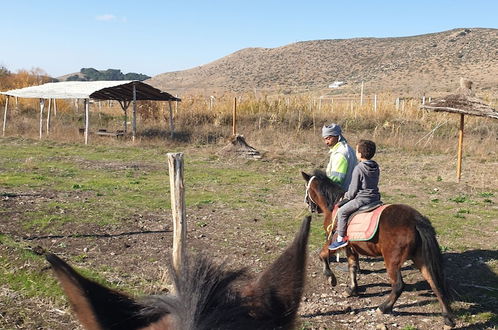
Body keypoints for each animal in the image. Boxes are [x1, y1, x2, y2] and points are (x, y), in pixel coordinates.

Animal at [300, 170, 456, 328]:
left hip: (392, 261)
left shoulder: (336, 242)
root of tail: (416, 220)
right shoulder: (351, 248)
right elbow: (352, 267)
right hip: (420, 258)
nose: (308, 204)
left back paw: (384, 307)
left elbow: (323, 255)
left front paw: (331, 278)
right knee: (435, 284)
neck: (334, 206)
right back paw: (448, 318)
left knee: (398, 285)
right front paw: (352, 289)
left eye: (307, 188)